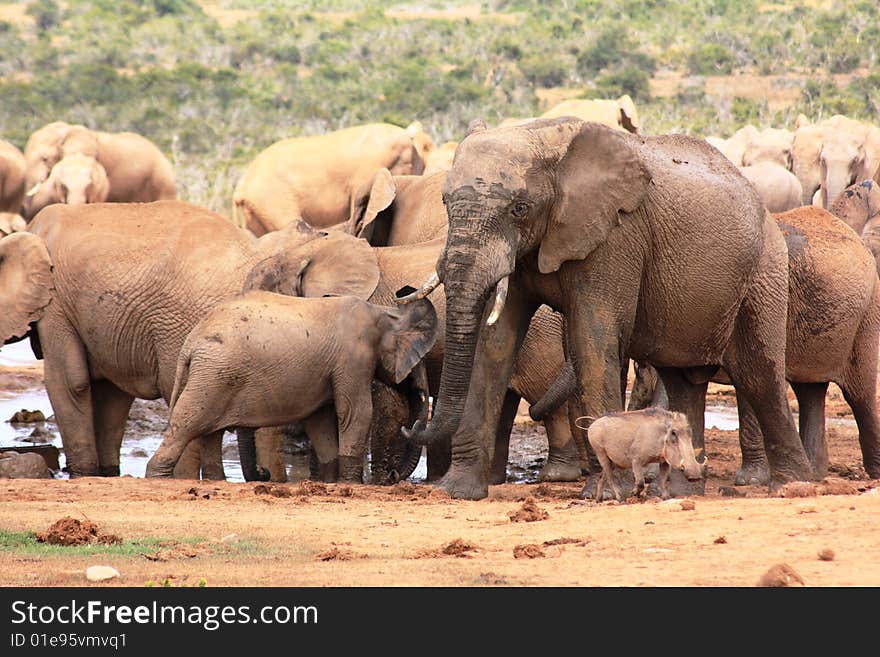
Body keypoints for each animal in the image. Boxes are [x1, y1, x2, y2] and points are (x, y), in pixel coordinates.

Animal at [144, 292, 440, 482]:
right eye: (420, 361)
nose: (391, 477)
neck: (385, 312)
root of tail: (190, 342)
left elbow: (320, 421)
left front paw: (330, 482)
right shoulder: (354, 356)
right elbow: (355, 412)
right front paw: (351, 484)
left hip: (212, 376)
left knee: (209, 433)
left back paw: (215, 481)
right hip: (213, 373)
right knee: (187, 423)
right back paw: (157, 477)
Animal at [398, 118, 812, 498]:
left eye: (519, 208)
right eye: (445, 202)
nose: (411, 426)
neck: (544, 138)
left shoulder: (616, 236)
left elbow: (592, 339)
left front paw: (608, 494)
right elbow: (495, 343)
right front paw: (456, 491)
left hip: (764, 270)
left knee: (758, 375)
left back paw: (794, 486)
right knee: (684, 380)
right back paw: (681, 493)